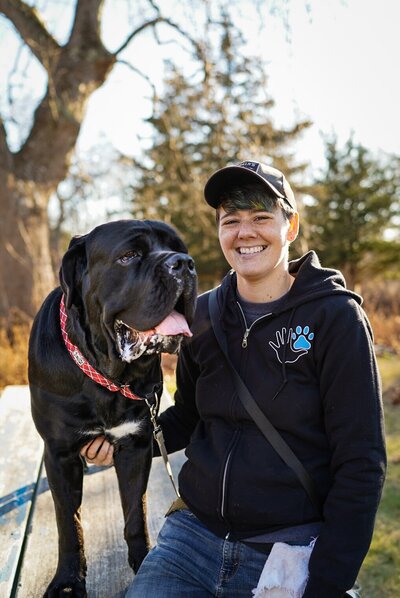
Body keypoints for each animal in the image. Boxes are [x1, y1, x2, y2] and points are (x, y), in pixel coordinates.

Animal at [28, 220, 197, 598]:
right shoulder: (58, 454)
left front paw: (143, 559)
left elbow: (135, 512)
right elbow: (69, 524)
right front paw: (68, 580)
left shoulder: (136, 444)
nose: (184, 263)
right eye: (129, 255)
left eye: (179, 247)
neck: (104, 374)